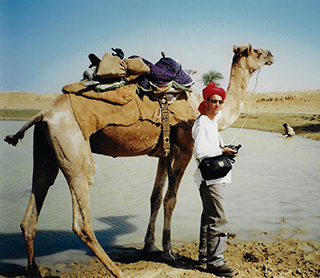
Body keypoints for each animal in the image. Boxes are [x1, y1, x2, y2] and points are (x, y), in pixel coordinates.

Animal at [3, 43, 274, 276]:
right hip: (73, 146)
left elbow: (155, 197)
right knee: (81, 215)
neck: (202, 106)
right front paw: (169, 252)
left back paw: (34, 271)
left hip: (46, 148)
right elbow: (170, 199)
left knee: (35, 200)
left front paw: (150, 246)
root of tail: (44, 113)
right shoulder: (185, 149)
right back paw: (117, 270)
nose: (272, 55)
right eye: (257, 51)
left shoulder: (164, 152)